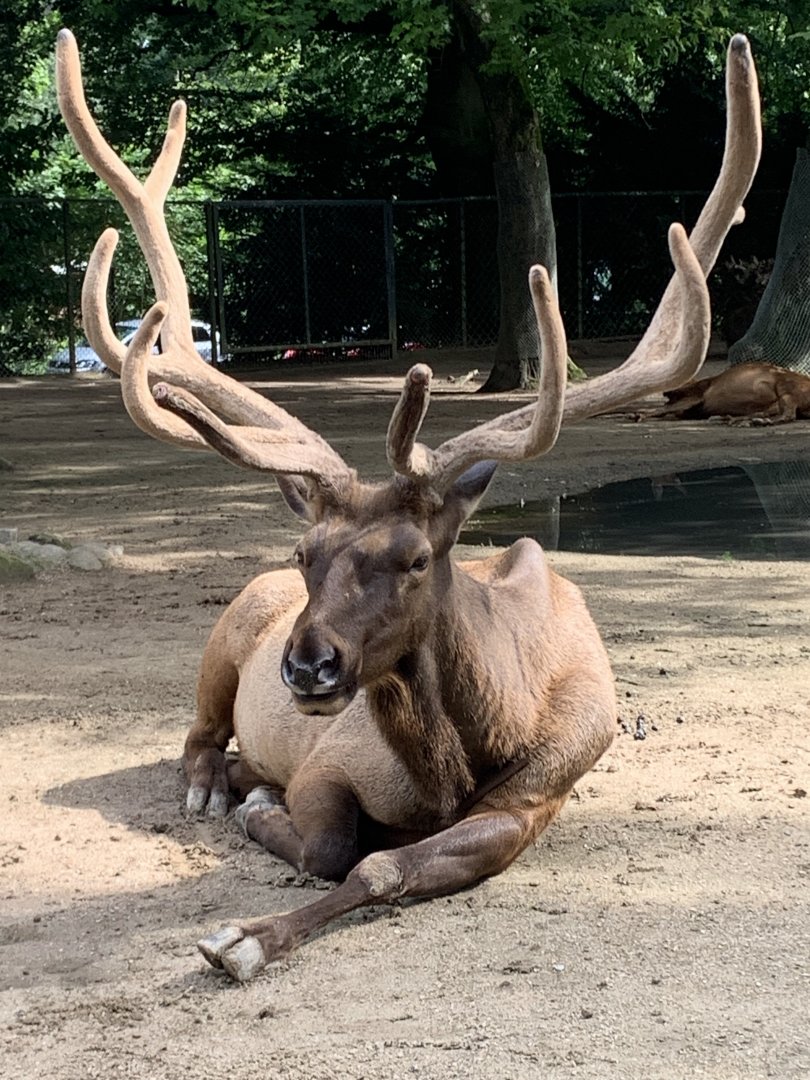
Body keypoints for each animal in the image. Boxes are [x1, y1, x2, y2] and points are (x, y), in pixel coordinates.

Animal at [55, 28, 761, 982]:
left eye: (417, 558)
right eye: (304, 554)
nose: (307, 668)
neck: (462, 752)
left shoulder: (535, 799)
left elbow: (384, 865)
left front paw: (247, 929)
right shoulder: (330, 761)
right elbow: (329, 848)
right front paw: (253, 846)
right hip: (220, 643)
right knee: (198, 735)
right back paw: (214, 786)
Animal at [639, 361, 810, 424]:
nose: (665, 391)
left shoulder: (695, 396)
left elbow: (662, 409)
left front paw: (638, 416)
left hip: (784, 386)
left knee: (788, 414)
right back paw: (729, 419)